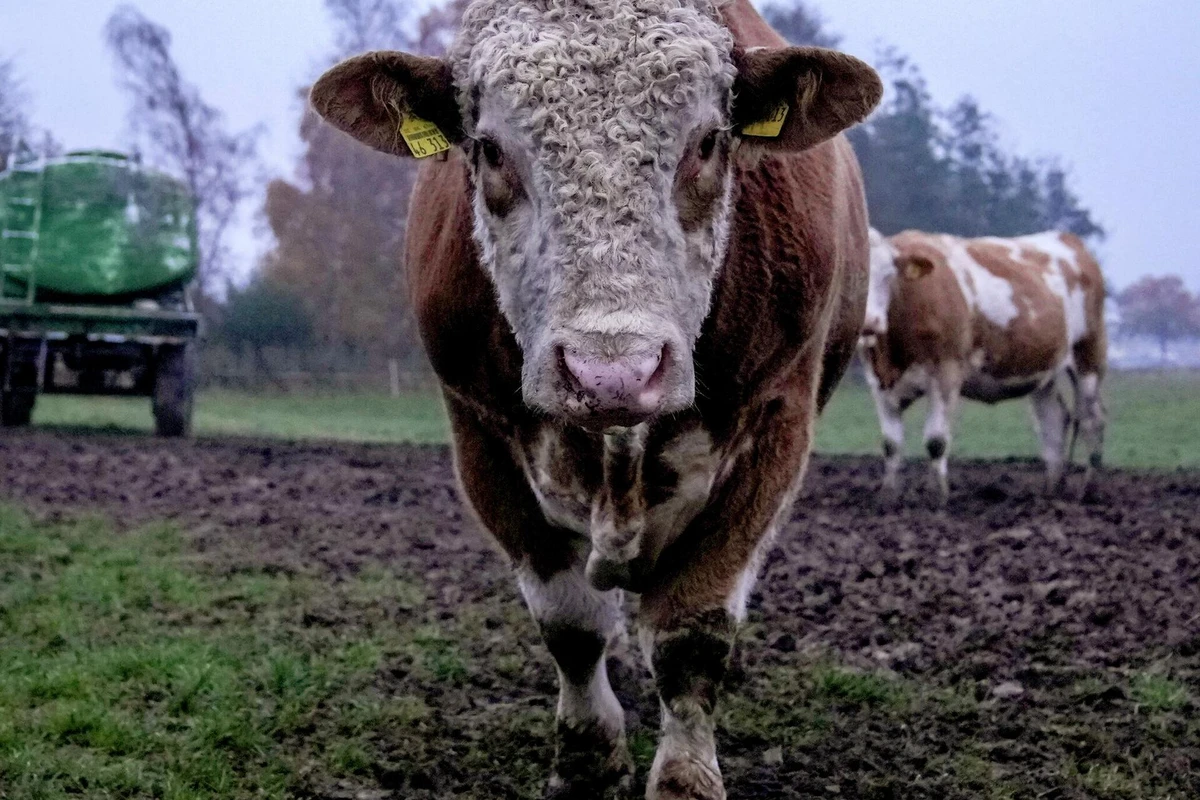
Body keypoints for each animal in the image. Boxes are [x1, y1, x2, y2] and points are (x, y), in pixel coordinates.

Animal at [309, 3, 883, 796]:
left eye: (709, 141)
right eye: (488, 149)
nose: (613, 373)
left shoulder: (776, 426)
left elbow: (693, 630)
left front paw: (684, 777)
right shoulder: (480, 437)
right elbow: (571, 625)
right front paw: (587, 759)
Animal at [864, 230, 1104, 506]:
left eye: (888, 276)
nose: (870, 322)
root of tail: (1066, 237)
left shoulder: (946, 374)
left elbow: (936, 442)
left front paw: (939, 497)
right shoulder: (878, 383)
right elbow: (891, 444)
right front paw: (887, 496)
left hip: (1088, 358)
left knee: (1093, 420)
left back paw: (1088, 490)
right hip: (1043, 371)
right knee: (1053, 421)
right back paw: (1050, 492)